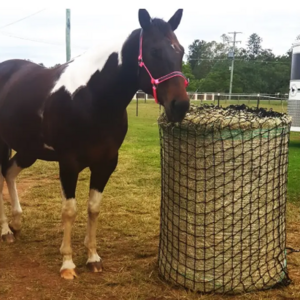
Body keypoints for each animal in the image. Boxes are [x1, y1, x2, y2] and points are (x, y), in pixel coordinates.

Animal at [0, 8, 189, 278]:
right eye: (154, 51)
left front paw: (92, 257)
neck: (91, 99)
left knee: (9, 172)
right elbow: (70, 210)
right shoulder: (68, 164)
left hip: (28, 149)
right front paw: (67, 264)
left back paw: (16, 223)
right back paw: (5, 230)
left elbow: (94, 208)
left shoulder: (105, 163)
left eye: (180, 50)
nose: (180, 105)